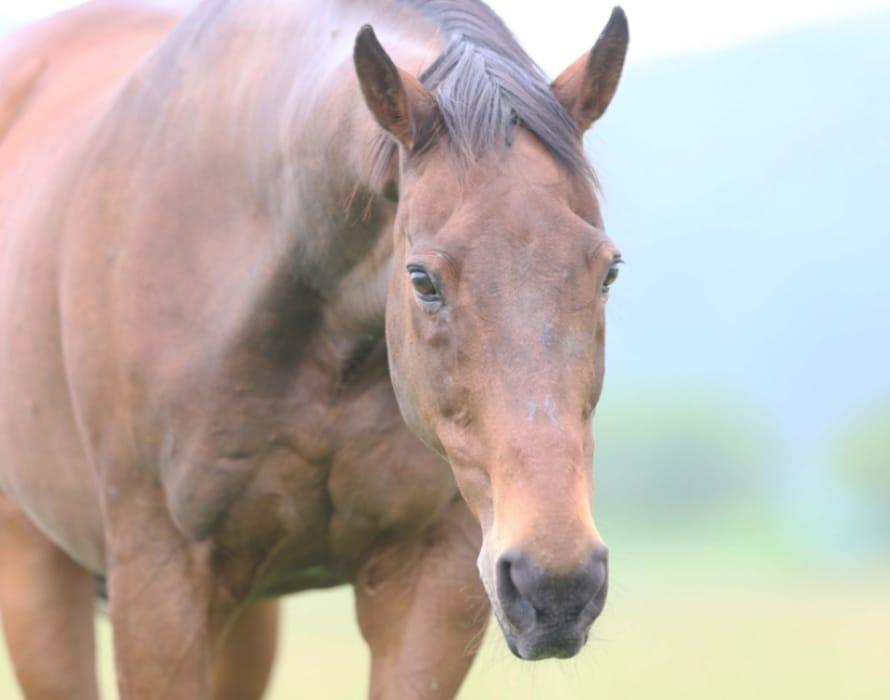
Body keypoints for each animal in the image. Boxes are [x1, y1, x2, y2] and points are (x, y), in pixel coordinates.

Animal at [0, 0, 629, 697]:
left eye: (608, 271)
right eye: (422, 280)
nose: (558, 584)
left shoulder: (430, 582)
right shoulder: (159, 586)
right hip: (35, 570)